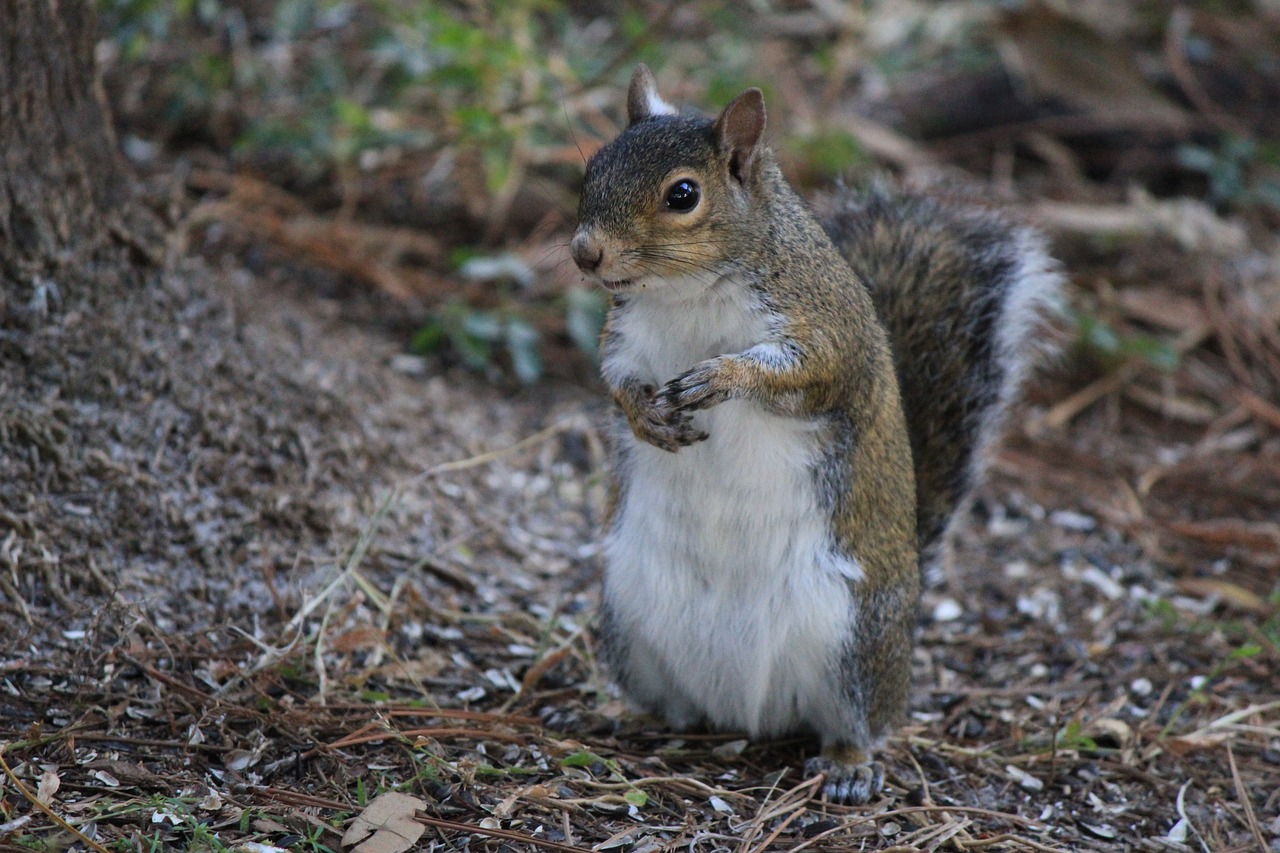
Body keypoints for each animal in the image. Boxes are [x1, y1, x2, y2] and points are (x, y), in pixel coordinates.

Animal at [570, 68, 1059, 804]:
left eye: (683, 195)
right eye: (593, 167)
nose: (585, 253)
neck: (686, 293)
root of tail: (745, 715)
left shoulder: (825, 330)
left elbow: (804, 373)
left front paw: (724, 375)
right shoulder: (625, 335)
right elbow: (615, 379)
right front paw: (645, 417)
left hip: (851, 641)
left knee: (857, 720)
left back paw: (850, 766)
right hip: (629, 620)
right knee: (673, 703)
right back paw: (637, 720)